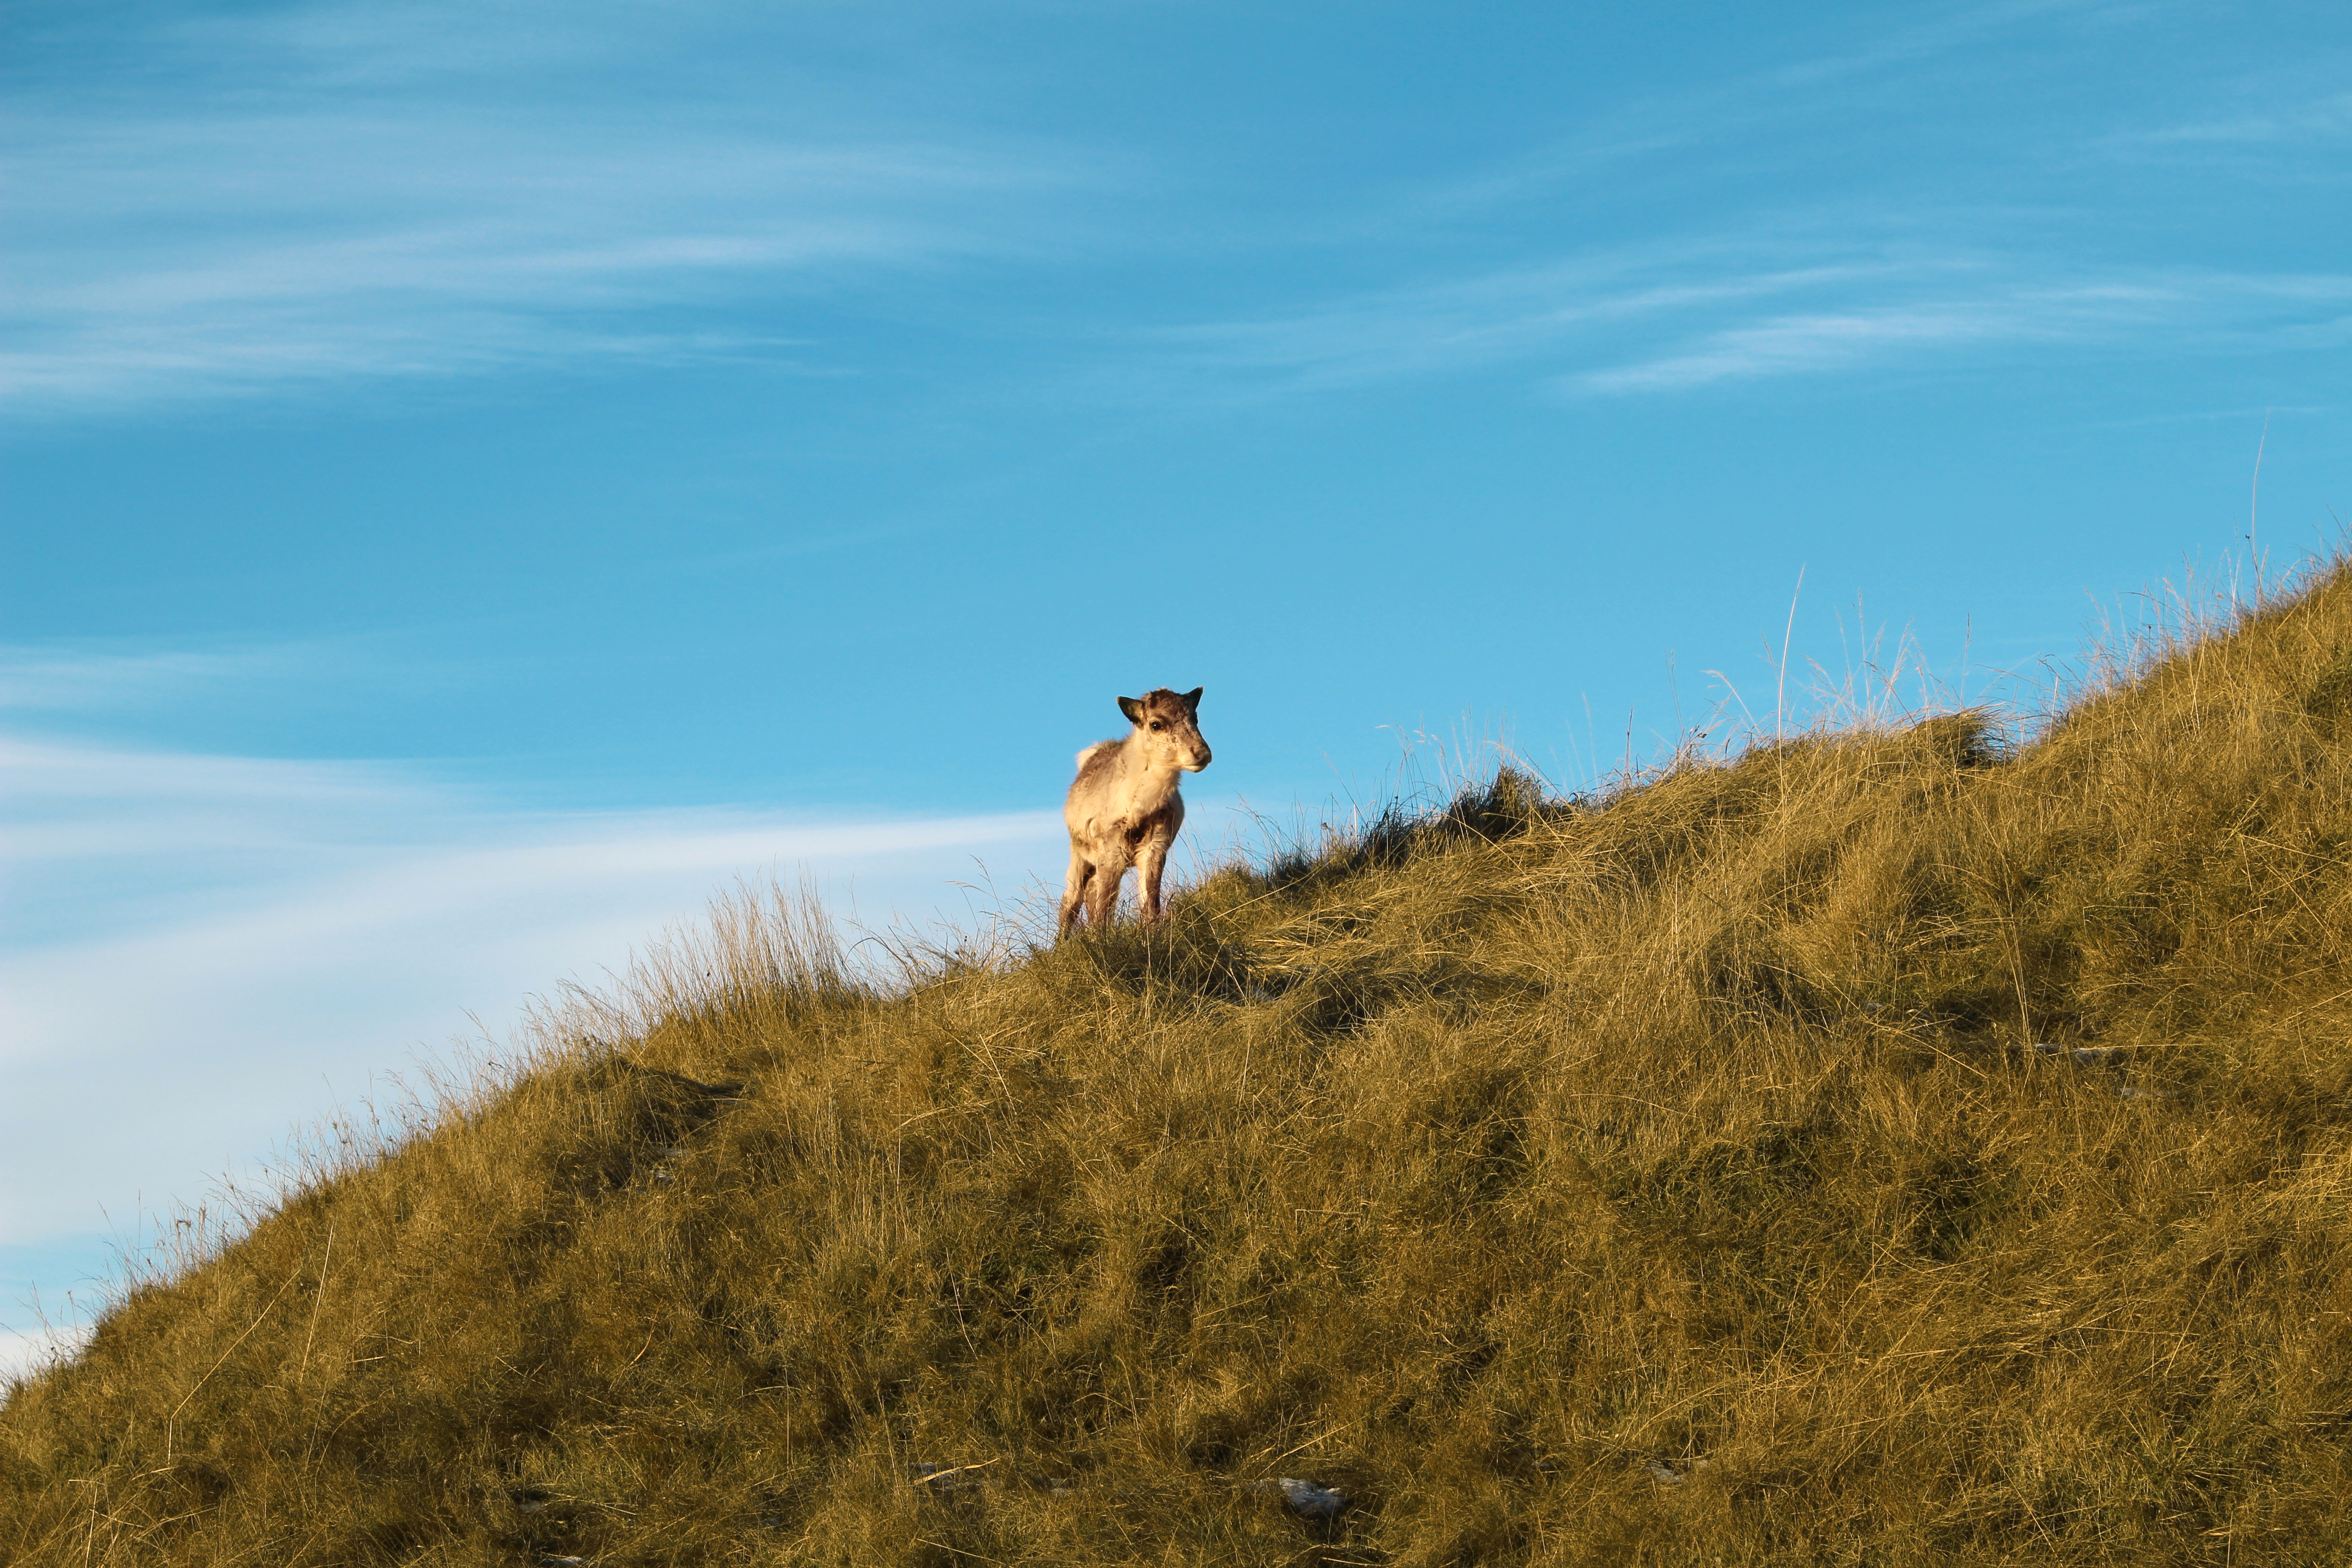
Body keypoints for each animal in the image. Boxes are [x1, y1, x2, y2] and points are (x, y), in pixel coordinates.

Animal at [1059, 687, 1211, 939]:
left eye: (1195, 718)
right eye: (1156, 724)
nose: (1202, 754)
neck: (1140, 809)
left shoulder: (1155, 846)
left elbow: (1150, 902)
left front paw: (1152, 933)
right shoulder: (1111, 849)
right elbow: (1105, 907)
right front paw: (1102, 939)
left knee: (1089, 893)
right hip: (1078, 851)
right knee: (1071, 902)